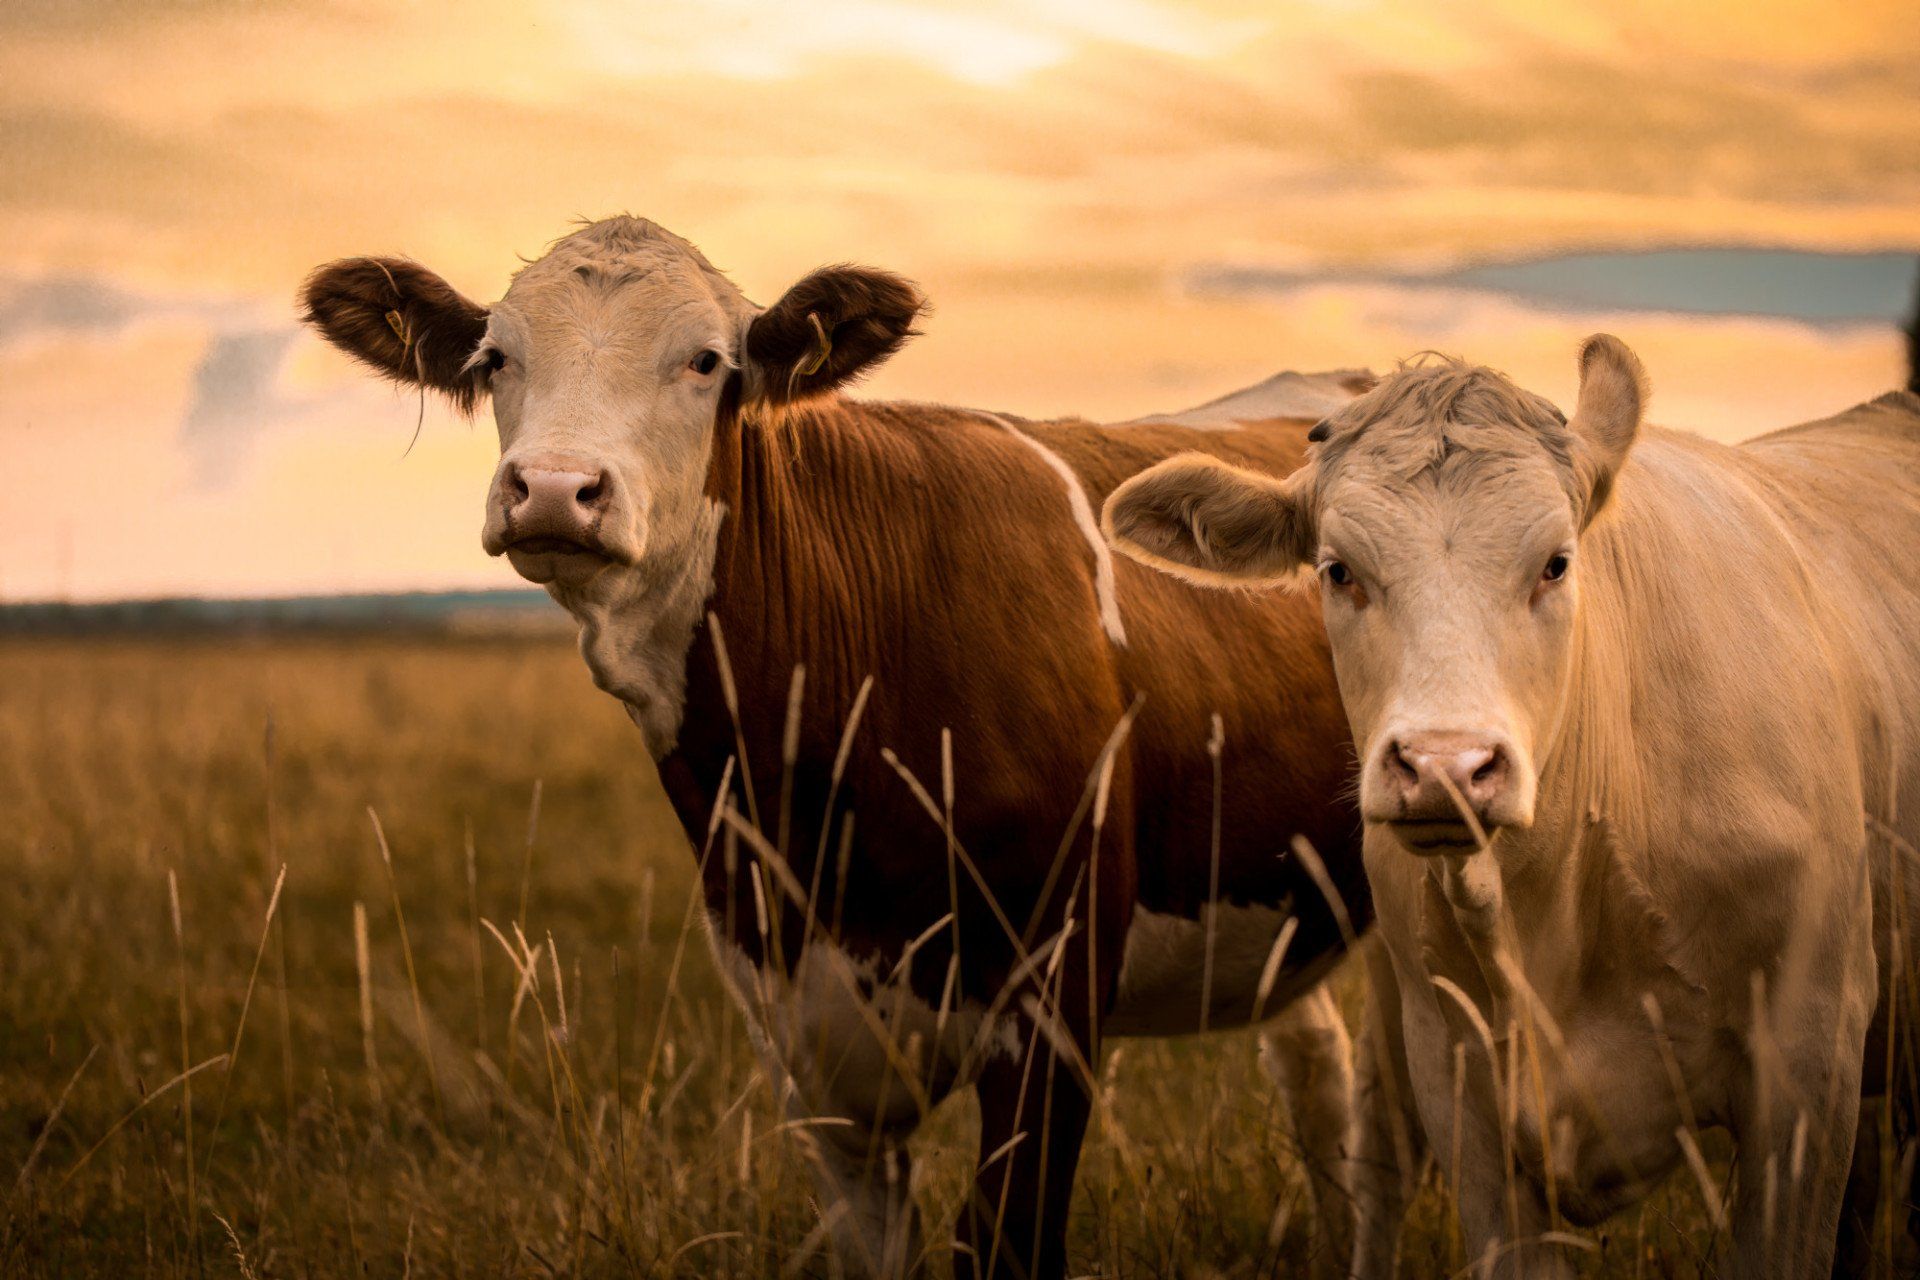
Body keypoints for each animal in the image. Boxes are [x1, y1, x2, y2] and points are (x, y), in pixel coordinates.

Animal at [303, 217, 1413, 1280]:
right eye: (496, 357)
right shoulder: (800, 1033)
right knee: (1321, 1087)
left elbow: (1003, 1241)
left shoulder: (1054, 1004)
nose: (552, 488)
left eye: (705, 360)